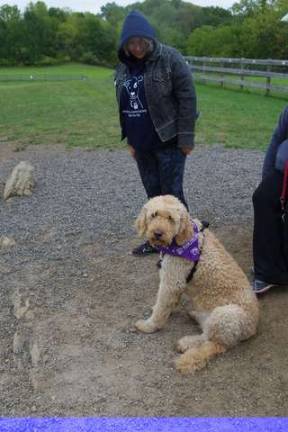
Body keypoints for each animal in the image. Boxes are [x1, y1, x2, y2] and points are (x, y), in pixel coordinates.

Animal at [134, 196, 258, 374]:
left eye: (171, 219)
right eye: (154, 215)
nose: (158, 233)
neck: (182, 240)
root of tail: (252, 328)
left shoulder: (172, 281)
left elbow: (161, 308)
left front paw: (149, 326)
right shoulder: (171, 278)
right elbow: (165, 304)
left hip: (226, 315)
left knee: (213, 343)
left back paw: (187, 343)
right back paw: (194, 316)